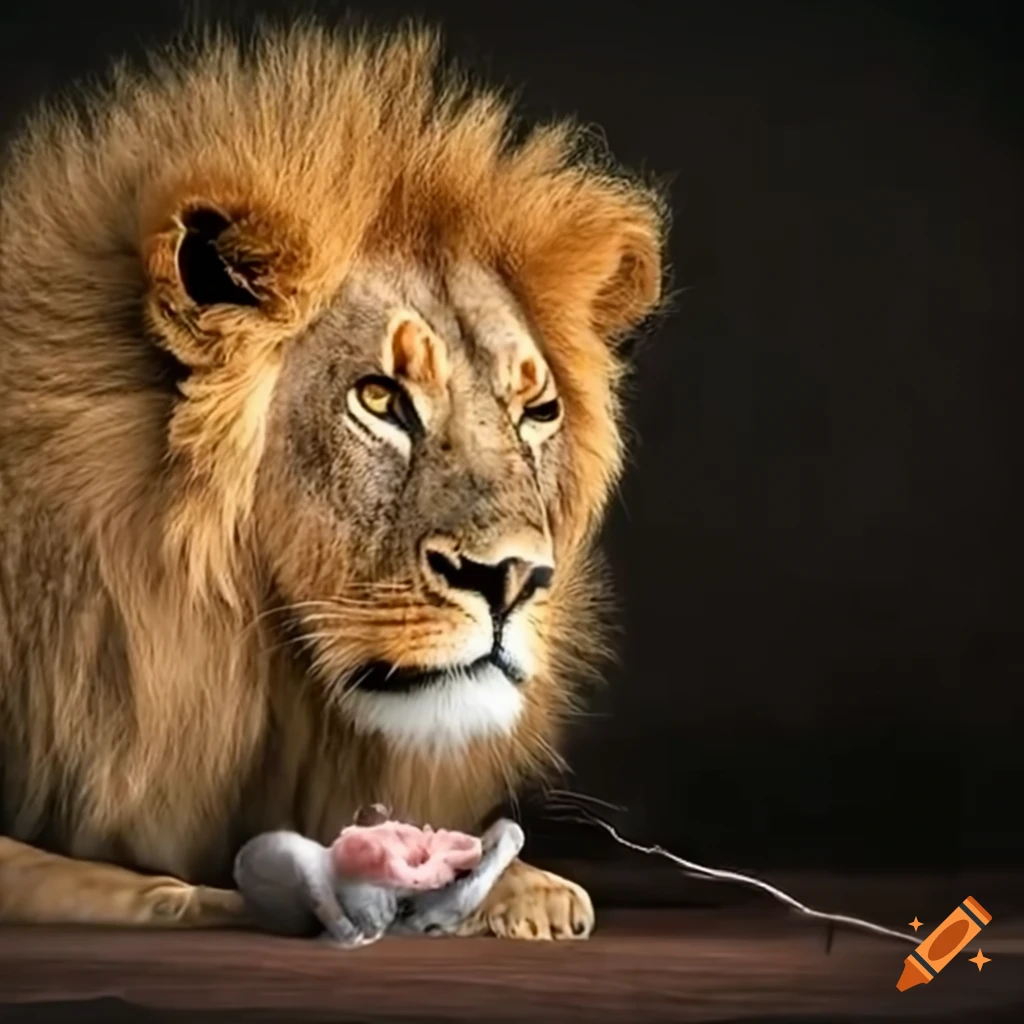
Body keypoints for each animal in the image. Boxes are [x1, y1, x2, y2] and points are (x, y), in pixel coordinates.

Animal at [0, 22, 666, 939]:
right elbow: (72, 872)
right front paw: (216, 895)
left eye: (536, 412)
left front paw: (523, 886)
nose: (513, 579)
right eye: (379, 398)